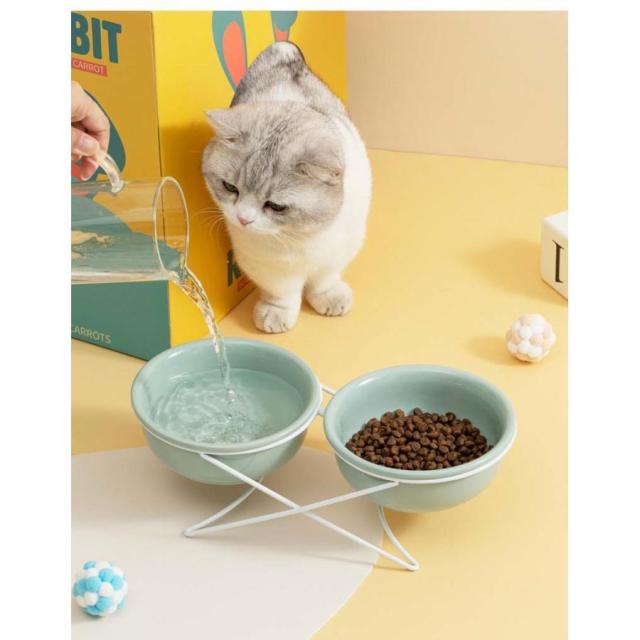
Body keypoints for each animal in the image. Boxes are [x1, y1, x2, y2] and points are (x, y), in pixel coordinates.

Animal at [202, 41, 371, 333]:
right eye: (230, 187)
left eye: (276, 205)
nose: (243, 219)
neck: (300, 236)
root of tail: (284, 51)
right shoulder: (266, 264)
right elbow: (282, 292)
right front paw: (277, 313)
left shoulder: (339, 249)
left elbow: (324, 279)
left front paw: (329, 296)